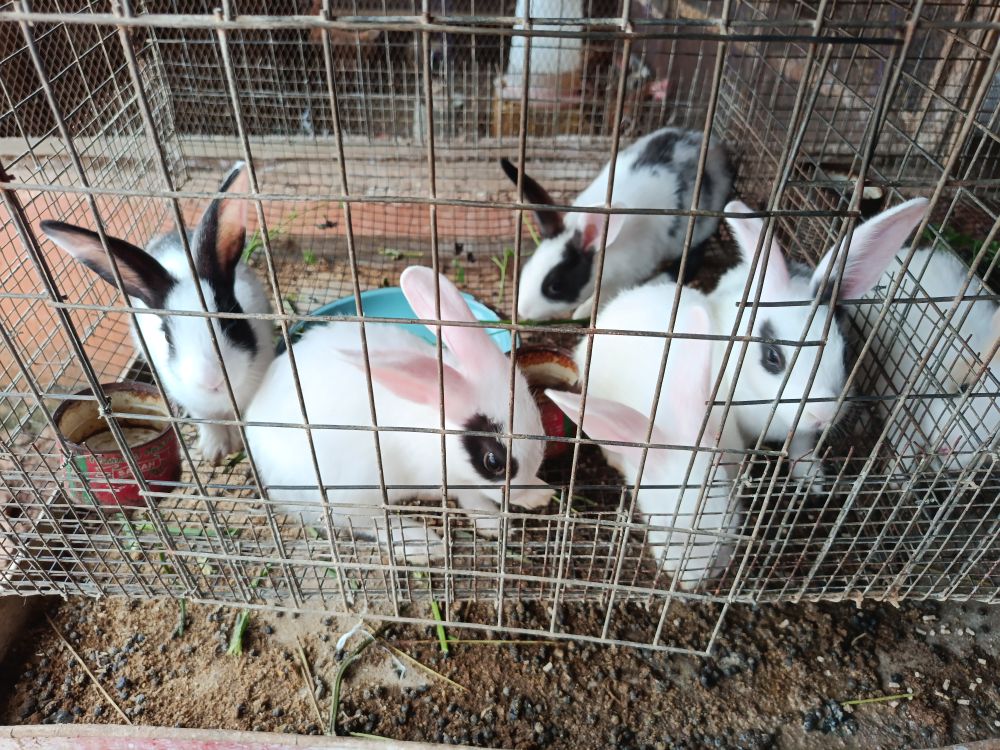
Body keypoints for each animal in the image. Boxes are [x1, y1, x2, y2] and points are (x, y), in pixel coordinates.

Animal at [40, 163, 274, 464]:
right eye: (168, 338)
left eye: (231, 320)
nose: (211, 381)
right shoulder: (193, 402)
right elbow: (209, 423)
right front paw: (215, 450)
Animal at [244, 266, 554, 562]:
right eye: (493, 462)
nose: (527, 490)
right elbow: (474, 496)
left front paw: (532, 499)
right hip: (350, 491)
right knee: (367, 521)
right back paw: (423, 545)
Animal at [500, 126, 733, 321]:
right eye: (528, 266)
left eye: (555, 286)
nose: (522, 311)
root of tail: (716, 147)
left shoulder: (623, 277)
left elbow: (603, 295)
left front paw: (582, 312)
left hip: (698, 230)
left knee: (691, 261)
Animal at [712, 197, 930, 479]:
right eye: (773, 357)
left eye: (846, 353)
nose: (823, 415)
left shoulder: (801, 435)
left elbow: (800, 451)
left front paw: (812, 478)